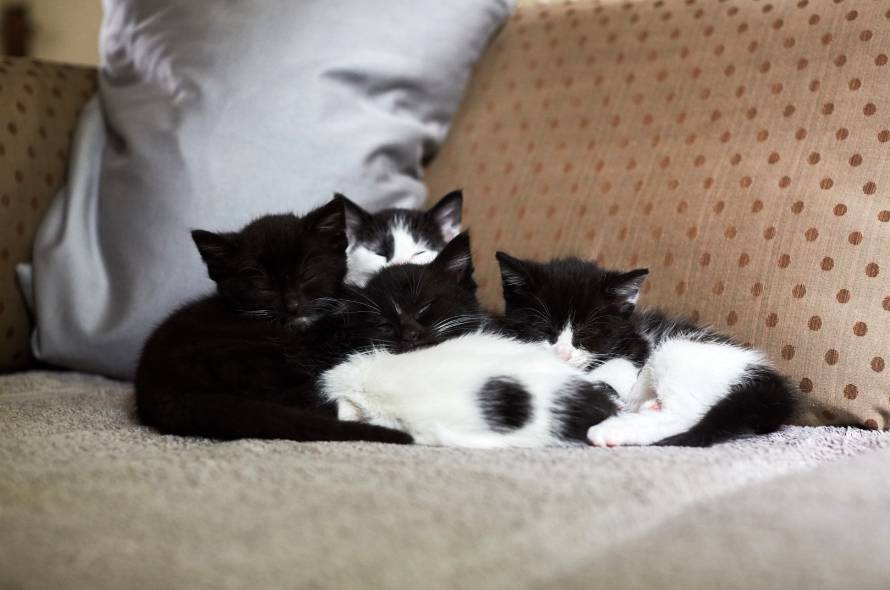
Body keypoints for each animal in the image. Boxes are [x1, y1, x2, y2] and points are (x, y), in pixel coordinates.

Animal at [496, 256, 796, 448]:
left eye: (588, 333)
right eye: (543, 328)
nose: (564, 354)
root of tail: (768, 379)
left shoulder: (637, 347)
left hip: (678, 350)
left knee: (684, 414)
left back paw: (612, 431)